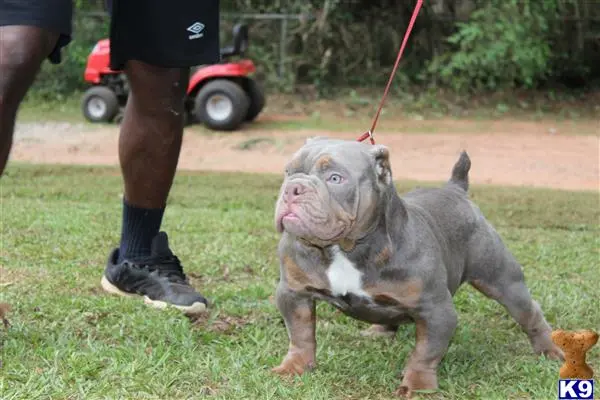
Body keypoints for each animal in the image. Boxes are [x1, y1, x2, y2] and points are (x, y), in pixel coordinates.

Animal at [272, 138, 564, 396]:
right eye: (288, 172)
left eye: (335, 178)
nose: (293, 188)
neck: (345, 249)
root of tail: (456, 189)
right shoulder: (293, 294)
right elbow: (300, 335)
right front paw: (294, 367)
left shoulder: (435, 310)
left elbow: (424, 353)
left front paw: (418, 385)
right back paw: (379, 331)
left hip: (502, 280)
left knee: (529, 312)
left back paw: (549, 350)